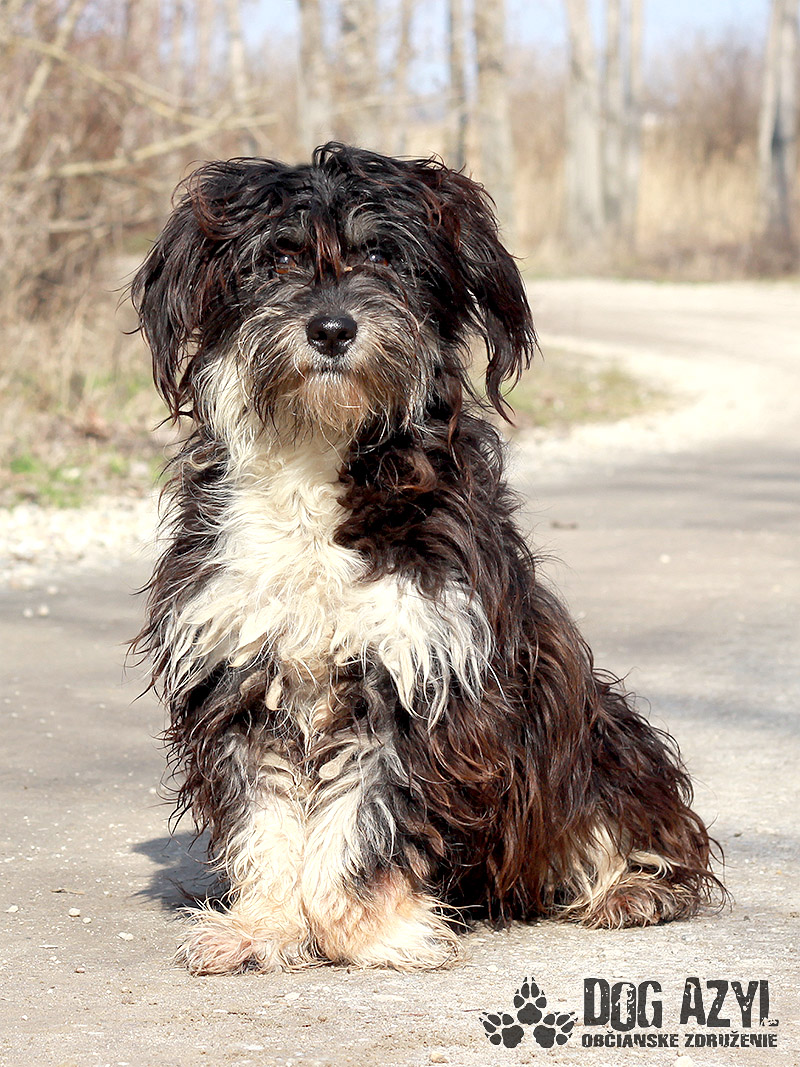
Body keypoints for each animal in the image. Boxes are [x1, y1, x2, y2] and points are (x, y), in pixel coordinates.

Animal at [132, 143, 722, 974]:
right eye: (277, 259)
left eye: (383, 255)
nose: (332, 328)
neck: (317, 460)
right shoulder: (241, 675)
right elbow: (265, 820)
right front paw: (264, 926)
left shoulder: (421, 675)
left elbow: (368, 820)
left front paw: (367, 929)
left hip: (600, 729)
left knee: (645, 828)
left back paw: (630, 889)